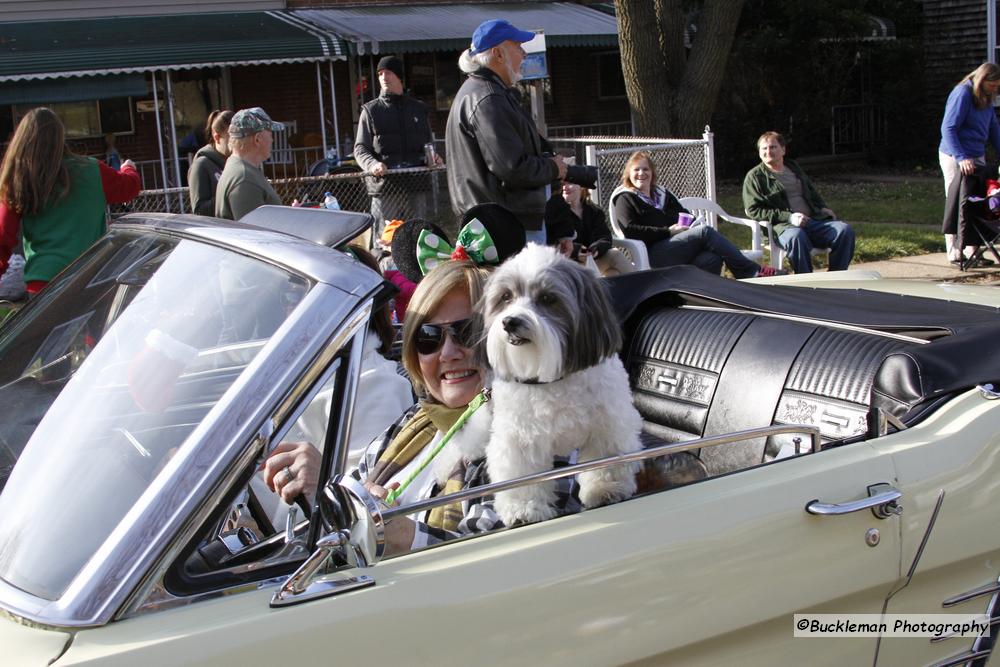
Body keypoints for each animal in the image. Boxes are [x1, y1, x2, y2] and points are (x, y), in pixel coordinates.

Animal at [476, 243, 640, 524]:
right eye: (506, 297)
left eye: (547, 299)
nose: (510, 322)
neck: (552, 378)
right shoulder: (519, 438)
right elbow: (522, 475)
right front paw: (524, 508)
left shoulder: (607, 425)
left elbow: (604, 461)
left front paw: (605, 489)